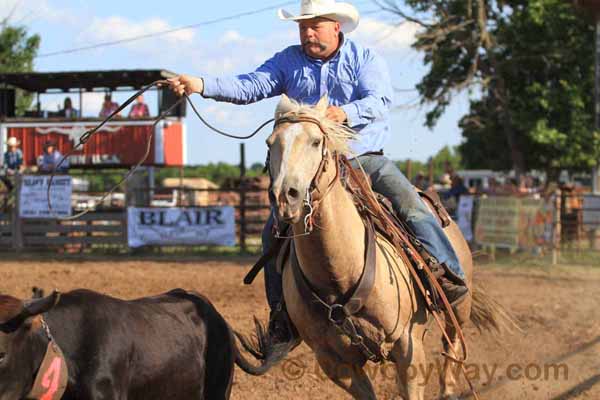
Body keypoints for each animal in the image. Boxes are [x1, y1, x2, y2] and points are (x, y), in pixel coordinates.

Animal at [244, 95, 510, 398]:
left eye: (315, 141)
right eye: (270, 143)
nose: (285, 196)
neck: (339, 273)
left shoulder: (409, 349)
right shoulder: (335, 363)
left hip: (459, 311)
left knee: (451, 353)